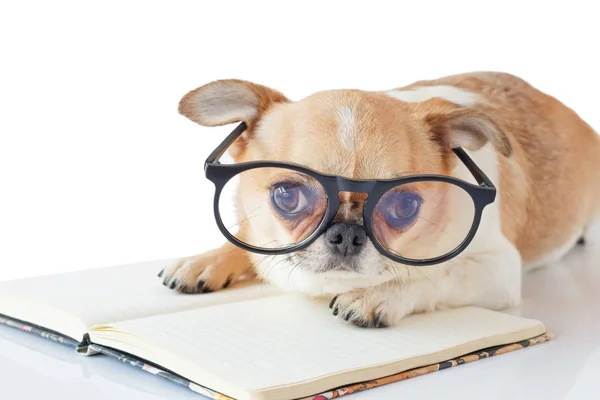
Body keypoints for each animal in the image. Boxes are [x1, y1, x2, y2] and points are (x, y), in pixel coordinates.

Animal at [159, 72, 600, 328]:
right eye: (287, 196)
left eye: (403, 207)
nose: (346, 235)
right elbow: (245, 240)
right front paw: (204, 260)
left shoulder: (499, 268)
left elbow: (433, 274)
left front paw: (378, 294)